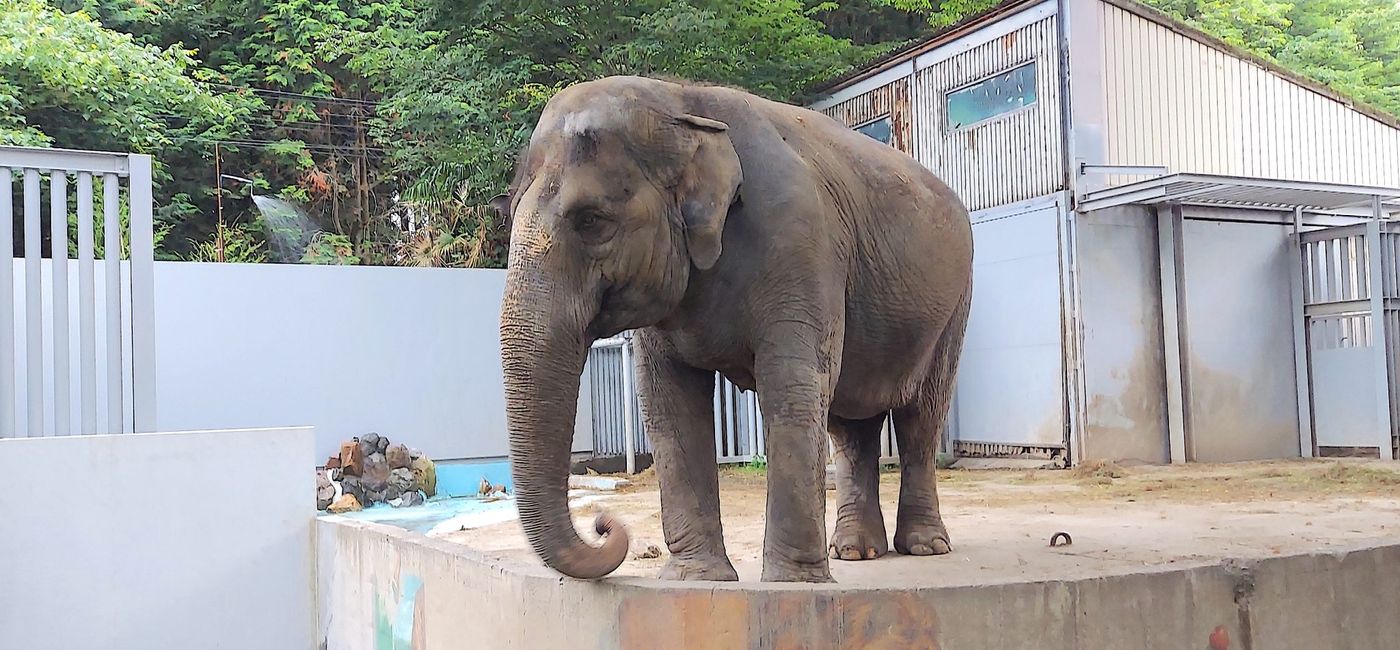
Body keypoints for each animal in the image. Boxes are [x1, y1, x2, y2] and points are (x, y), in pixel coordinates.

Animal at [493, 75, 973, 583]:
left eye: (592, 220)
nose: (605, 525)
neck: (677, 99)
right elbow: (668, 402)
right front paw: (696, 579)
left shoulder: (799, 242)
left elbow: (792, 386)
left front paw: (792, 585)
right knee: (850, 425)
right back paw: (855, 552)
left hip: (953, 308)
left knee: (921, 415)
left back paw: (924, 547)